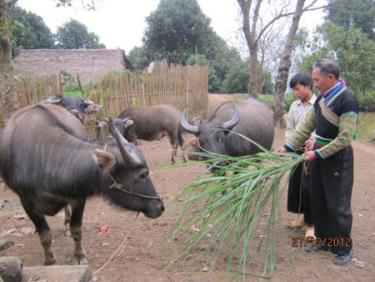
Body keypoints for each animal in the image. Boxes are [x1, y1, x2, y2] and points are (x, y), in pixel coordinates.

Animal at [0, 103, 164, 264]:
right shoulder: (27, 203)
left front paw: (79, 256)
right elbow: (45, 234)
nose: (160, 206)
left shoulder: (78, 197)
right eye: (142, 174)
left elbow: (76, 229)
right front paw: (49, 260)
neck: (44, 158)